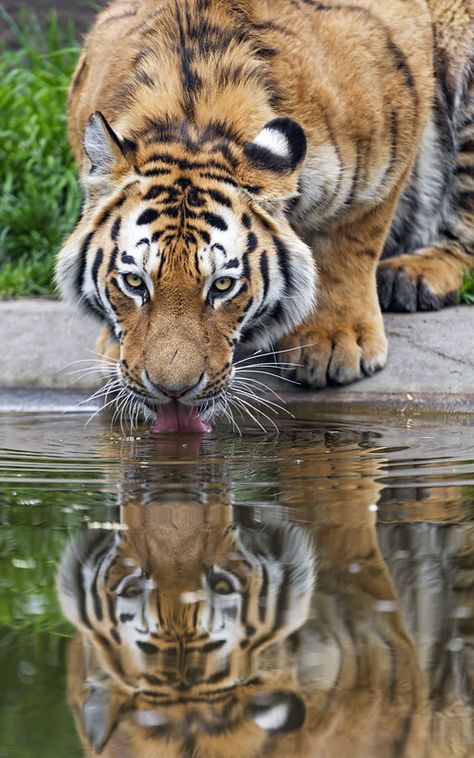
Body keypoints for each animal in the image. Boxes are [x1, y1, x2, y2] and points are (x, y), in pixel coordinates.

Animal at [56, 0, 474, 430]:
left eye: (223, 286)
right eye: (134, 282)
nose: (172, 391)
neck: (192, 119)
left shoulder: (387, 157)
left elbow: (350, 242)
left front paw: (335, 340)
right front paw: (112, 349)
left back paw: (412, 276)